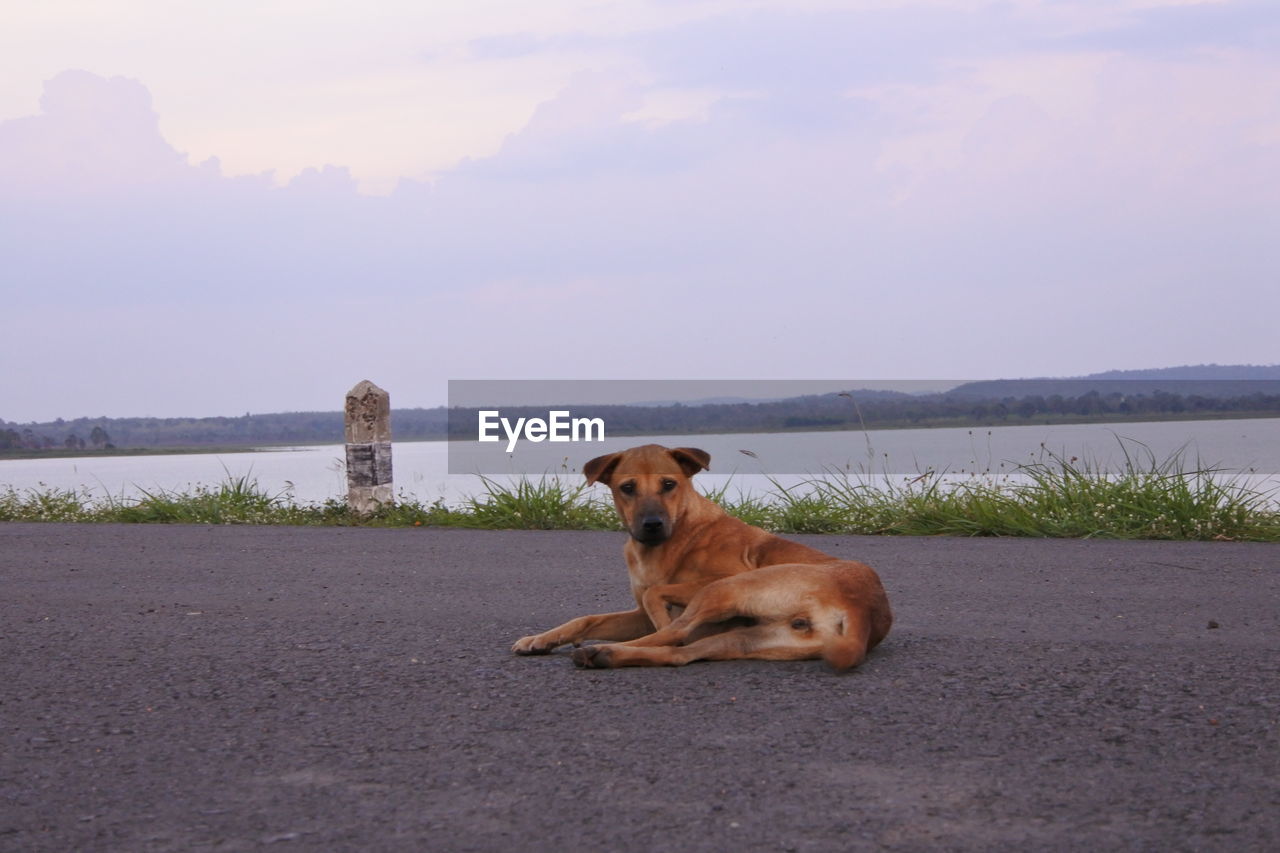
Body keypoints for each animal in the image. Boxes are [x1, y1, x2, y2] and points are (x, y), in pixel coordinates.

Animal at [509, 440, 890, 666]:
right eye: (627, 488)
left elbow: (655, 595)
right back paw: (602, 653)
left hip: (727, 589)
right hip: (744, 640)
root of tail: (862, 609)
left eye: (669, 484)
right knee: (678, 654)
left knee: (674, 636)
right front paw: (540, 639)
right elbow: (586, 619)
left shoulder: (725, 575)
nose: (651, 525)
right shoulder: (637, 614)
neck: (669, 543)